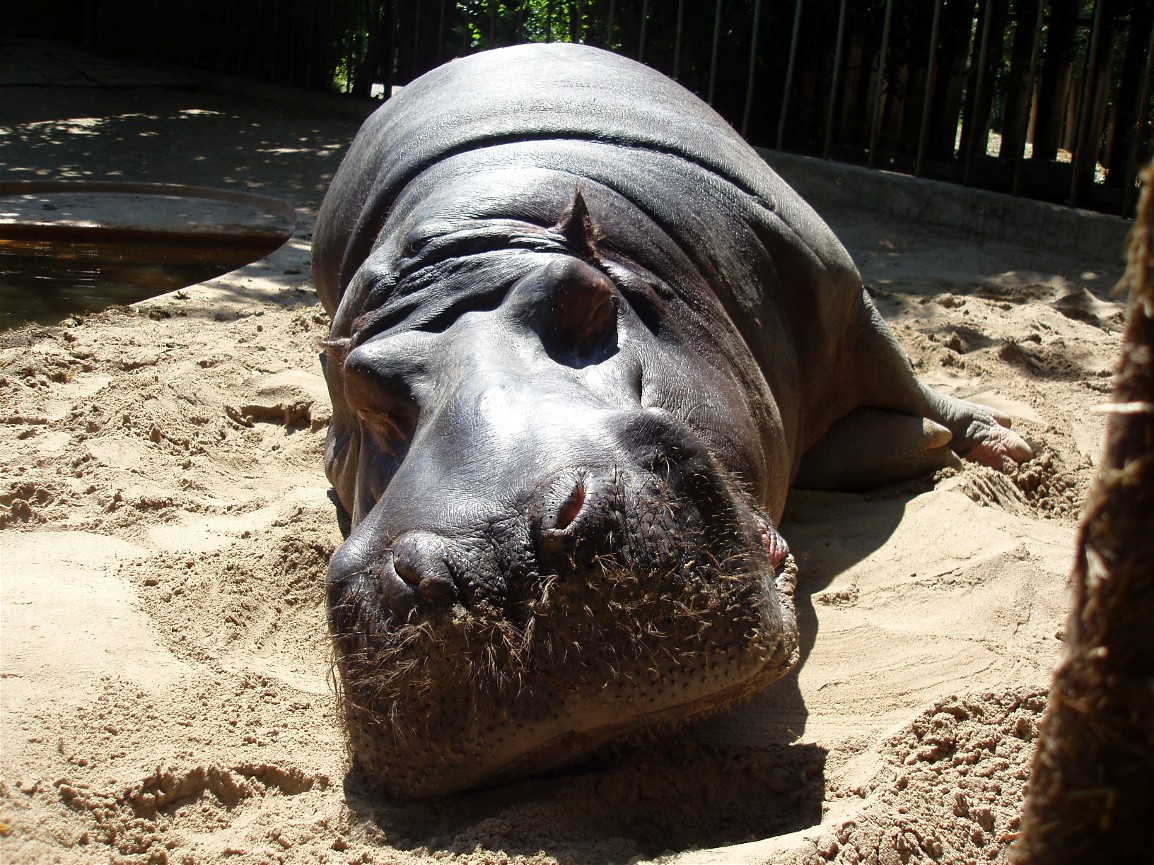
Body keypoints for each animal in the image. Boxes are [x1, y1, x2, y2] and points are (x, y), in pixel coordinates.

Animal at [313, 43, 1030, 800]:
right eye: (359, 384)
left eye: (588, 298)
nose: (497, 555)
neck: (469, 248)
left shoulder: (840, 291)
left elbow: (907, 377)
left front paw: (1004, 447)